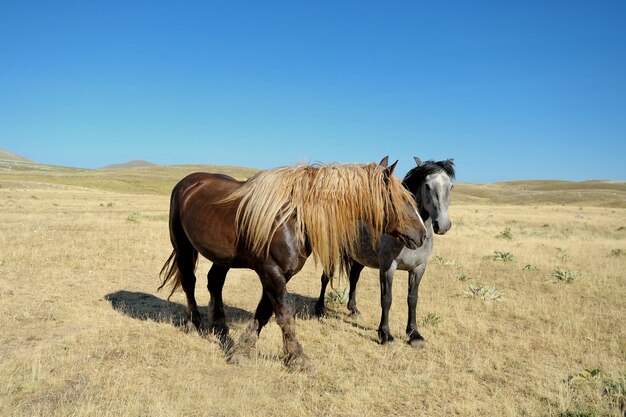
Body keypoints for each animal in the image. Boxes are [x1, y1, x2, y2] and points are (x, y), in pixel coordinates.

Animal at [158, 156, 426, 368]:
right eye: (402, 199)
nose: (422, 234)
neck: (294, 217)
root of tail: (188, 183)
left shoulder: (280, 274)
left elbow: (264, 312)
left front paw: (245, 348)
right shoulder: (271, 271)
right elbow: (284, 314)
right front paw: (297, 357)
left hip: (222, 258)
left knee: (214, 282)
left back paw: (220, 326)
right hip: (183, 248)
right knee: (189, 282)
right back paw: (194, 324)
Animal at [312, 158, 454, 346]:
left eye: (450, 186)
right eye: (428, 186)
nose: (442, 225)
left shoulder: (419, 268)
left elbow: (412, 299)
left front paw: (414, 334)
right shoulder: (388, 267)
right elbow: (386, 299)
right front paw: (385, 334)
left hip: (360, 257)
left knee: (354, 278)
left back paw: (353, 309)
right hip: (333, 252)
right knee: (325, 278)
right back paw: (320, 308)